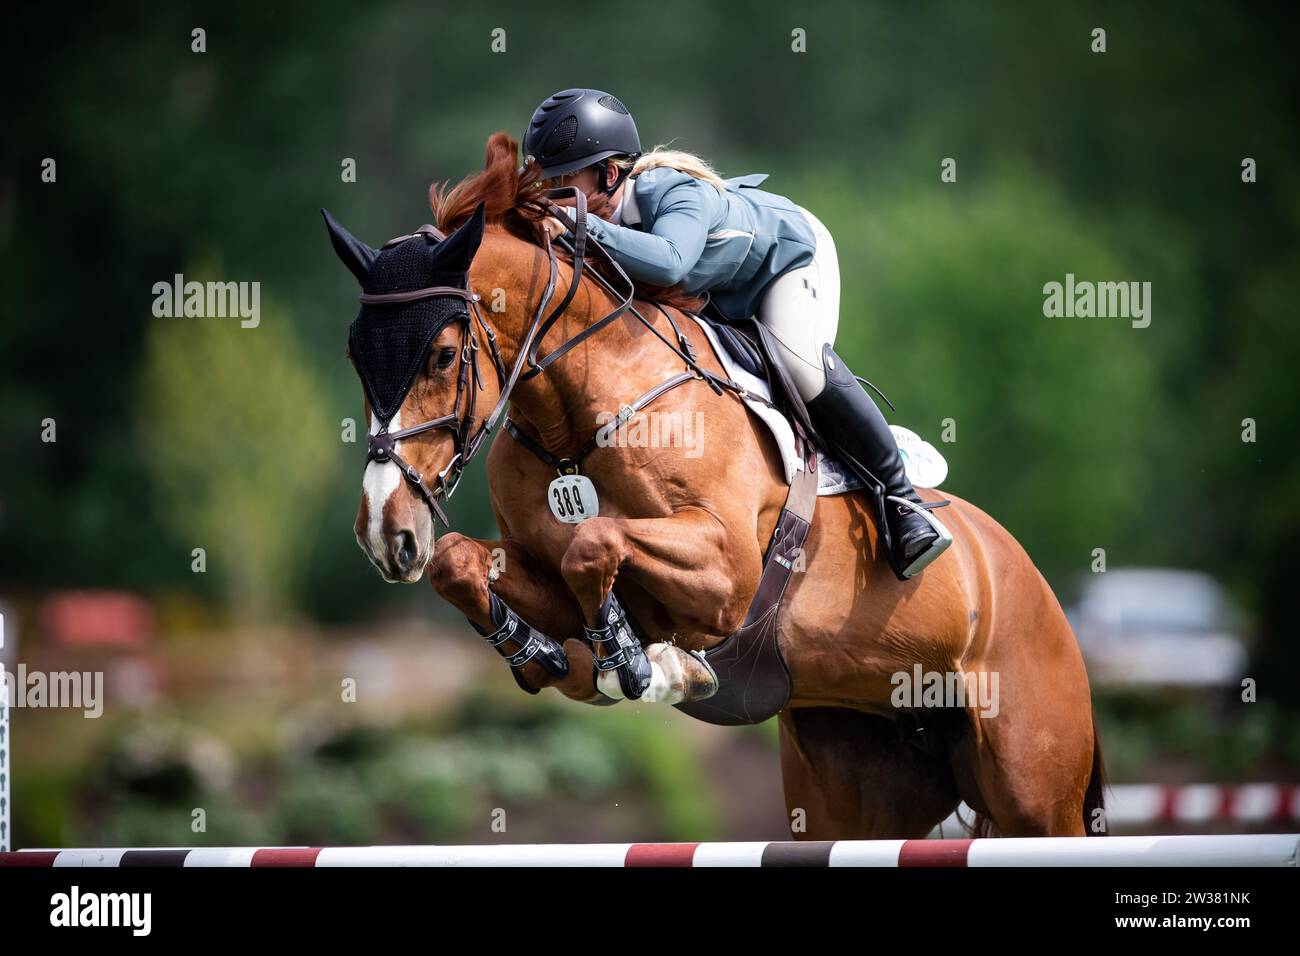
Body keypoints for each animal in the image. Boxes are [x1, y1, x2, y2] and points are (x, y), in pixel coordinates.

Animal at [330, 134, 1102, 837]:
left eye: (442, 355)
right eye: (355, 355)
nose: (383, 533)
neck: (578, 420)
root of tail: (1029, 579)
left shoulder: (726, 571)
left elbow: (594, 543)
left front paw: (641, 663)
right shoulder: (548, 568)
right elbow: (462, 562)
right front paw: (546, 653)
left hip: (1033, 788)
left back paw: (913, 526)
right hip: (855, 780)